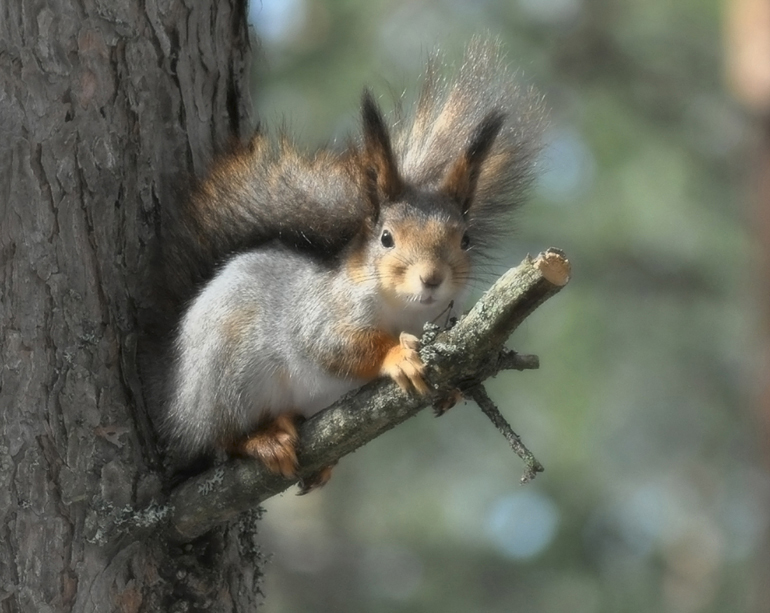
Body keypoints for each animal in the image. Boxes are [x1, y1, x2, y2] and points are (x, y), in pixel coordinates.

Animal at [160, 39, 544, 492]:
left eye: (465, 239)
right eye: (386, 238)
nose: (432, 278)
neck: (403, 310)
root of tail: (178, 399)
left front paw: (453, 390)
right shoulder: (321, 313)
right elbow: (336, 346)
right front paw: (397, 355)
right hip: (223, 378)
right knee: (220, 436)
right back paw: (262, 440)